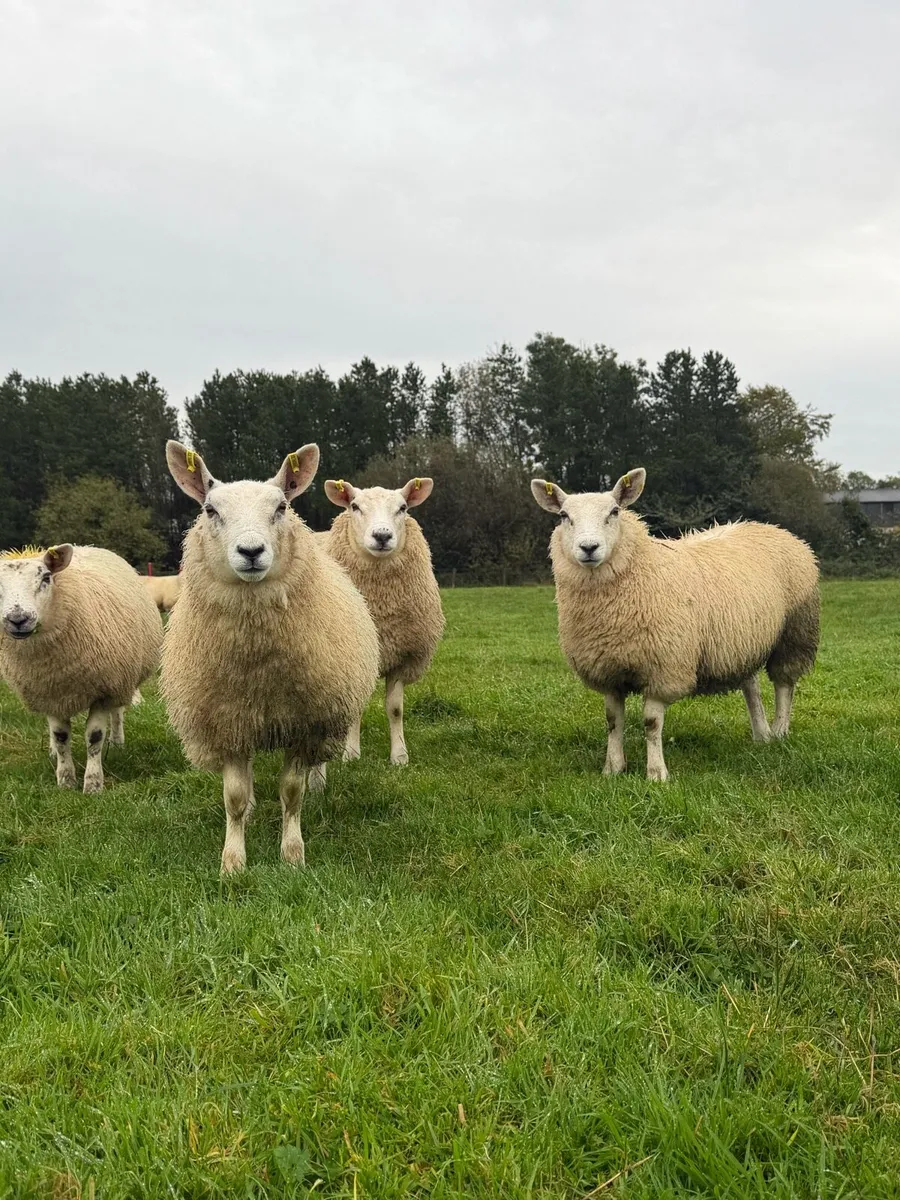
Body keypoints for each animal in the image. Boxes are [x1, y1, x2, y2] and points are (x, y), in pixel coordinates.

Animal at [0, 544, 163, 792]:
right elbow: (60, 737)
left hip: (122, 678)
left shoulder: (104, 690)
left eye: (46, 577)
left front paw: (93, 784)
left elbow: (94, 737)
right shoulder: (49, 691)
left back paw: (117, 742)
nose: (18, 619)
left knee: (117, 712)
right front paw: (65, 780)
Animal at [161, 441, 380, 873]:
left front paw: (292, 854)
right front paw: (232, 861)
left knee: (314, 765)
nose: (251, 551)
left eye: (281, 507)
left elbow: (292, 793)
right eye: (210, 509)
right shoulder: (228, 722)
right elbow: (234, 797)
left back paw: (317, 782)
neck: (258, 666)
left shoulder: (304, 723)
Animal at [320, 477, 445, 766]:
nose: (382, 536)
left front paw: (399, 755)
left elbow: (395, 709)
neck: (380, 605)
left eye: (403, 508)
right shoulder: (355, 660)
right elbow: (355, 710)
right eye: (354, 506)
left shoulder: (402, 655)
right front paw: (351, 753)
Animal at [531, 468, 819, 781]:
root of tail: (773, 528)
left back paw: (779, 730)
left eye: (614, 511)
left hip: (795, 631)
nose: (588, 548)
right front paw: (613, 768)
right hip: (741, 642)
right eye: (563, 516)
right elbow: (612, 721)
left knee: (784, 683)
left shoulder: (664, 667)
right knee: (751, 686)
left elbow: (651, 723)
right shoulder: (609, 671)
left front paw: (656, 773)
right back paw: (761, 734)